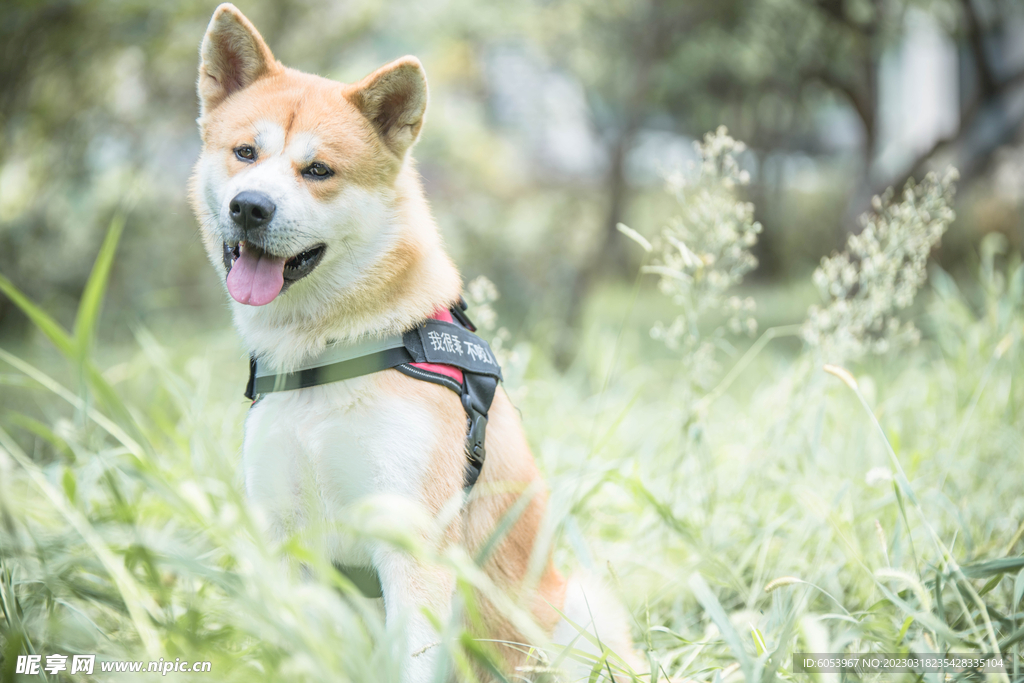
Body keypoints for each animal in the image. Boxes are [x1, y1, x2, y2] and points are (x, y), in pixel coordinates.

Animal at [189, 3, 643, 679]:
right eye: (245, 152)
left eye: (318, 170)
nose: (250, 206)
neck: (325, 359)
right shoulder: (283, 543)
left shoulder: (413, 547)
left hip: (575, 613)